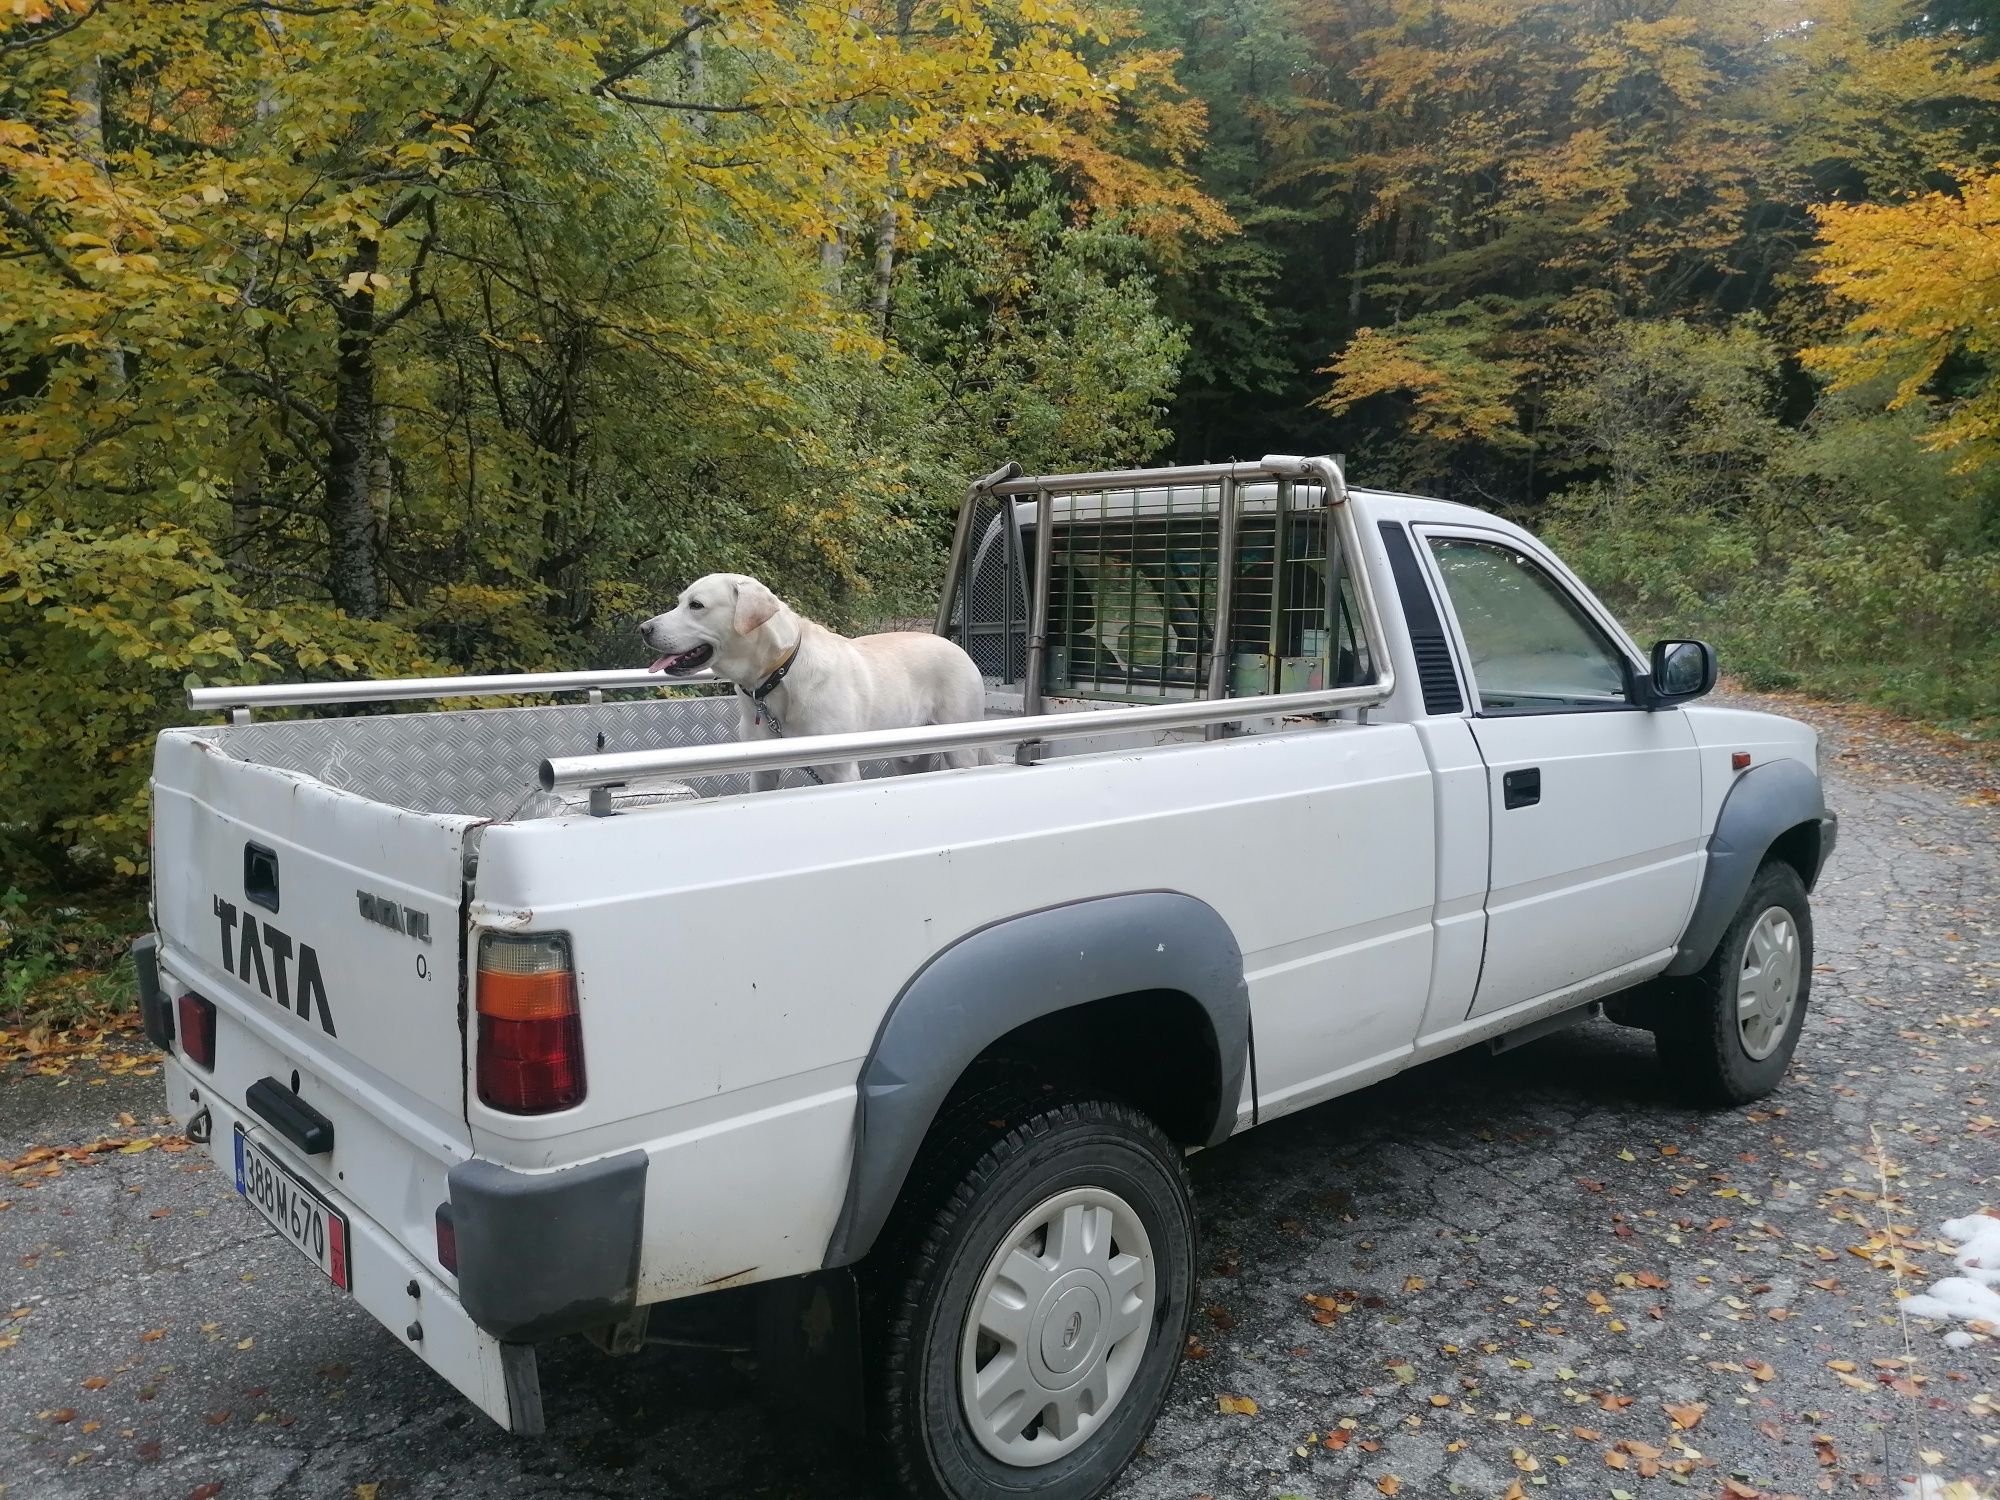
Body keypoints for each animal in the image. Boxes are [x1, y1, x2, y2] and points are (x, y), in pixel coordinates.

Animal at [636, 572, 988, 792]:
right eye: (680, 601)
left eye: (696, 605)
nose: (643, 629)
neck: (778, 676)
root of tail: (958, 647)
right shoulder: (762, 770)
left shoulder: (842, 770)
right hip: (908, 757)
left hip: (961, 746)